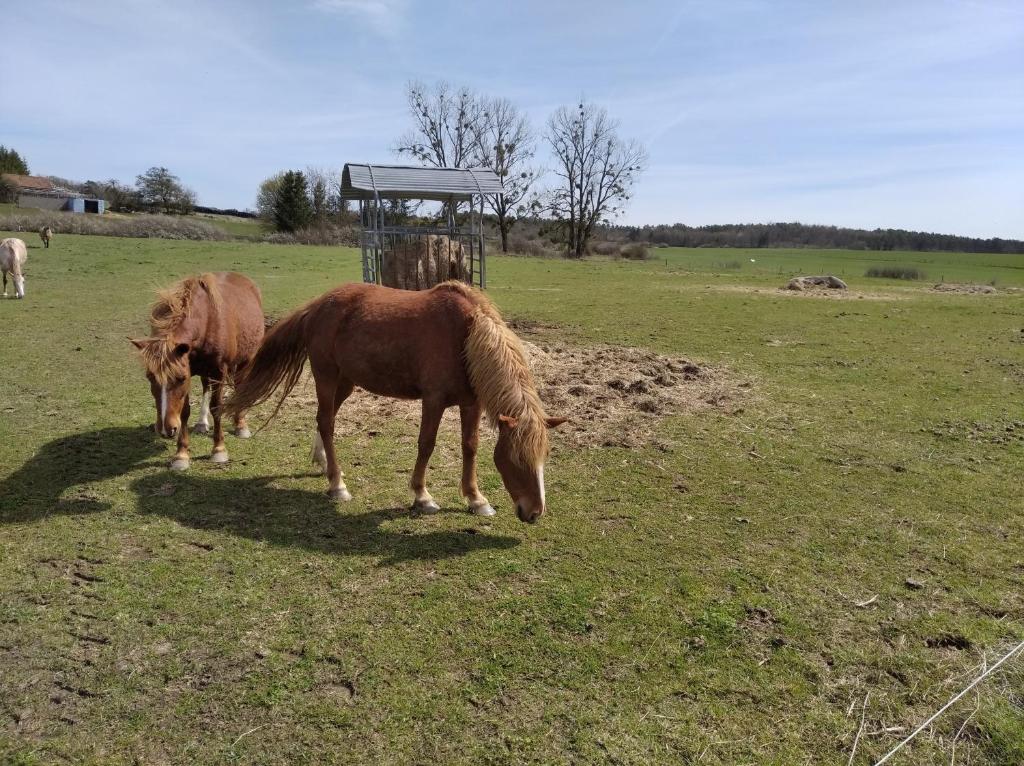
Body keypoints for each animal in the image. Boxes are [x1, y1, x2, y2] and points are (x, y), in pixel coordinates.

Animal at [131, 272, 264, 469]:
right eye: (150, 378)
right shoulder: (192, 368)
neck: (206, 320)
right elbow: (185, 411)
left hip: (245, 360)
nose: (165, 430)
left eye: (180, 378)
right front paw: (181, 455)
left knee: (240, 386)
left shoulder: (218, 371)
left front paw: (219, 450)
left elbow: (216, 407)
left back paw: (241, 425)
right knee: (205, 387)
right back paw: (202, 423)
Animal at [221, 282, 569, 528]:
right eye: (516, 458)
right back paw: (337, 484)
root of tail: (317, 306)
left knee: (324, 418)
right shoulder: (434, 400)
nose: (534, 513)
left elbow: (470, 447)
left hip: (346, 382)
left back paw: (322, 463)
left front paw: (476, 500)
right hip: (327, 376)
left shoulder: (471, 404)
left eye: (545, 457)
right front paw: (422, 496)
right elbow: (426, 444)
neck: (465, 336)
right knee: (327, 423)